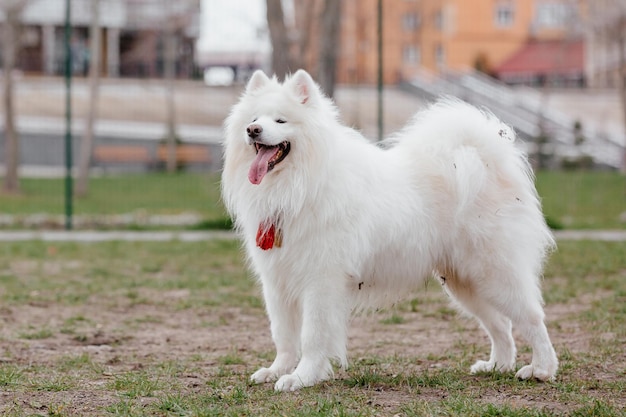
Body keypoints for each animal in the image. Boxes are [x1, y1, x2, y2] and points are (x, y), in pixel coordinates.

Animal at [221, 68, 556, 390]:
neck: (299, 186)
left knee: (532, 318)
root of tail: (488, 161)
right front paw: (276, 371)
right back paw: (497, 366)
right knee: (501, 325)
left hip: (495, 274)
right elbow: (284, 336)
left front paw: (301, 378)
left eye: (280, 120)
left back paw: (541, 369)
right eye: (254, 119)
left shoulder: (321, 282)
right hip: (466, 284)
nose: (253, 131)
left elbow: (312, 336)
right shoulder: (277, 281)